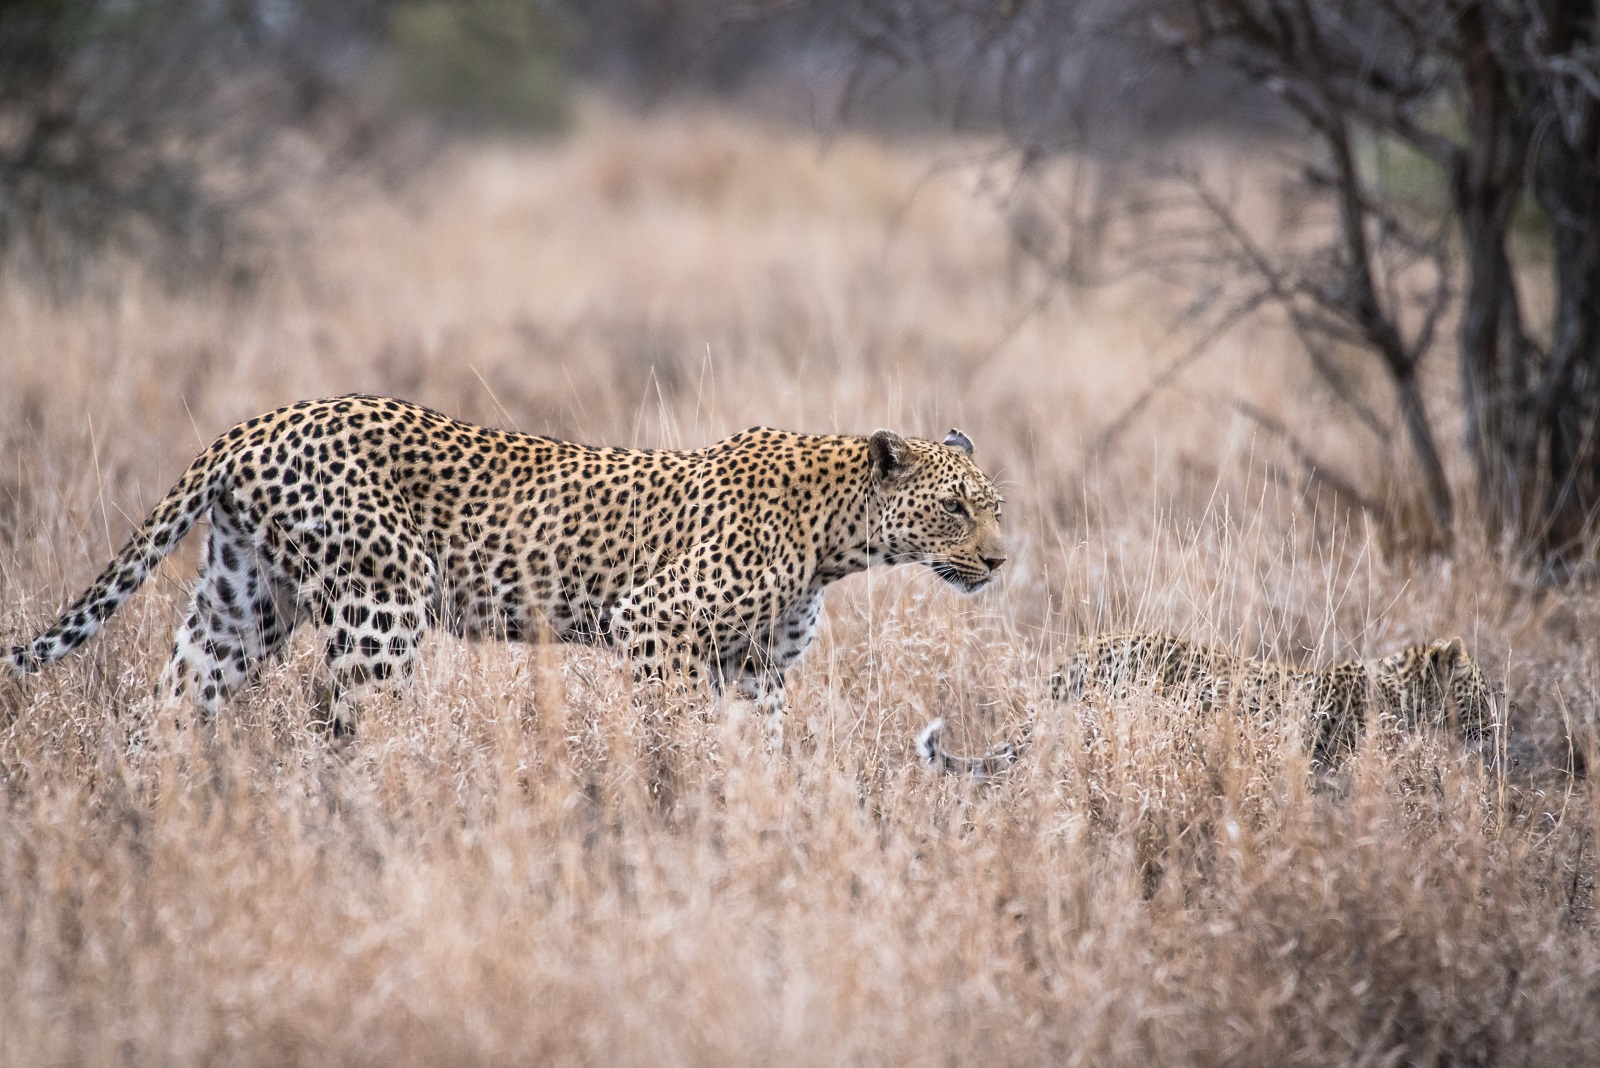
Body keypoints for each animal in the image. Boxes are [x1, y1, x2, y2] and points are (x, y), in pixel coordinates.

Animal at [7, 395, 1005, 738]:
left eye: (997, 504)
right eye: (957, 506)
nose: (999, 560)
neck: (839, 539)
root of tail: (260, 422)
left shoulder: (754, 667)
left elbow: (759, 750)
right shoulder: (658, 625)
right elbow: (673, 735)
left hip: (240, 606)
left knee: (167, 714)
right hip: (382, 607)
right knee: (354, 728)